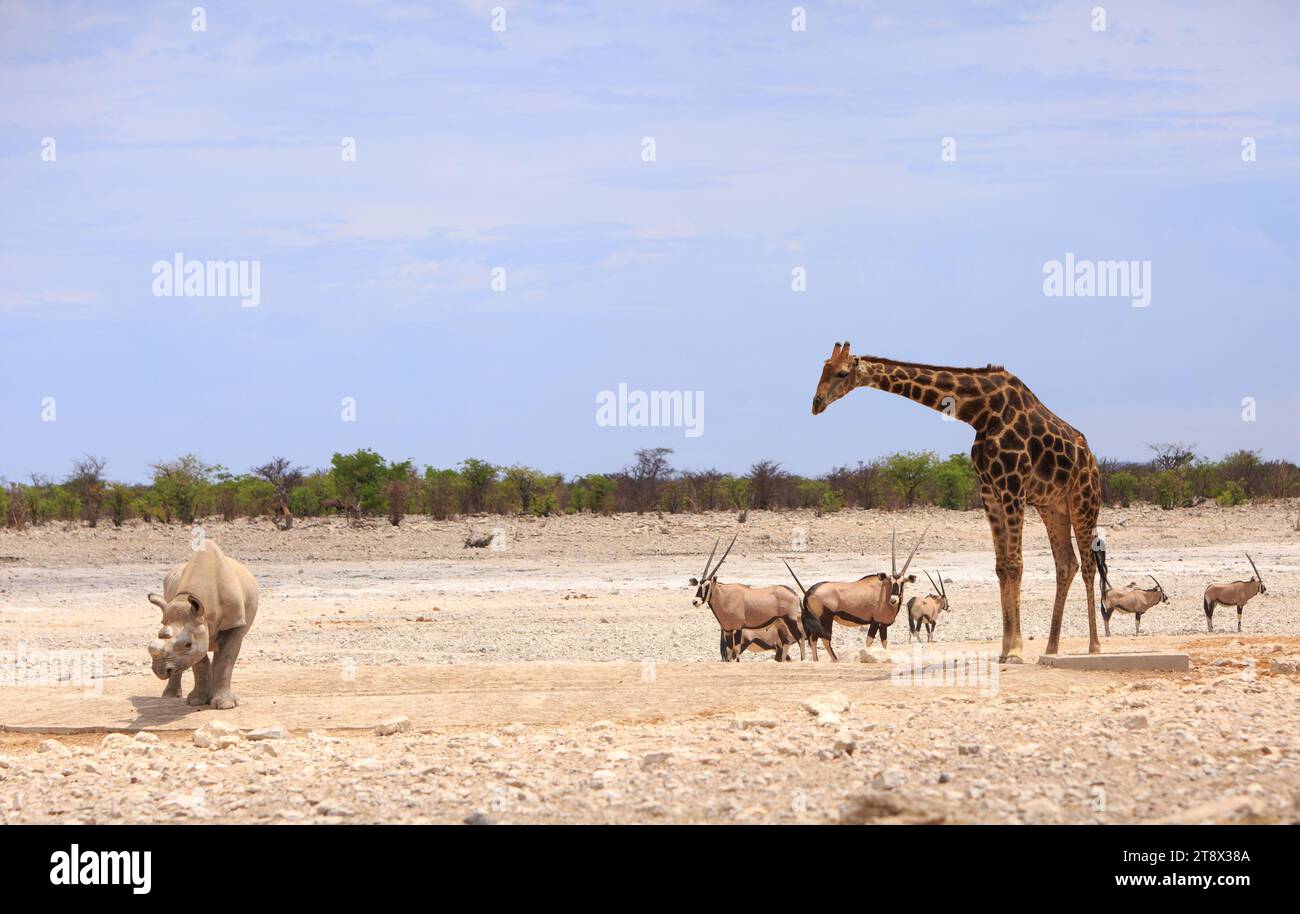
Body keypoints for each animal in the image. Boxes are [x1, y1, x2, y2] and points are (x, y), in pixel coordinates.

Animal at [816, 340, 1102, 660]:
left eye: (841, 373)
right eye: (823, 369)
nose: (816, 403)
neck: (981, 412)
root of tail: (1093, 462)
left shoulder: (1013, 486)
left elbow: (1015, 564)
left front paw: (1015, 650)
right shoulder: (989, 491)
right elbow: (1002, 567)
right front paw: (1005, 648)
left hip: (1084, 501)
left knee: (1088, 566)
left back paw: (1094, 646)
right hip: (1052, 508)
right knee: (1067, 564)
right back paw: (1051, 647)